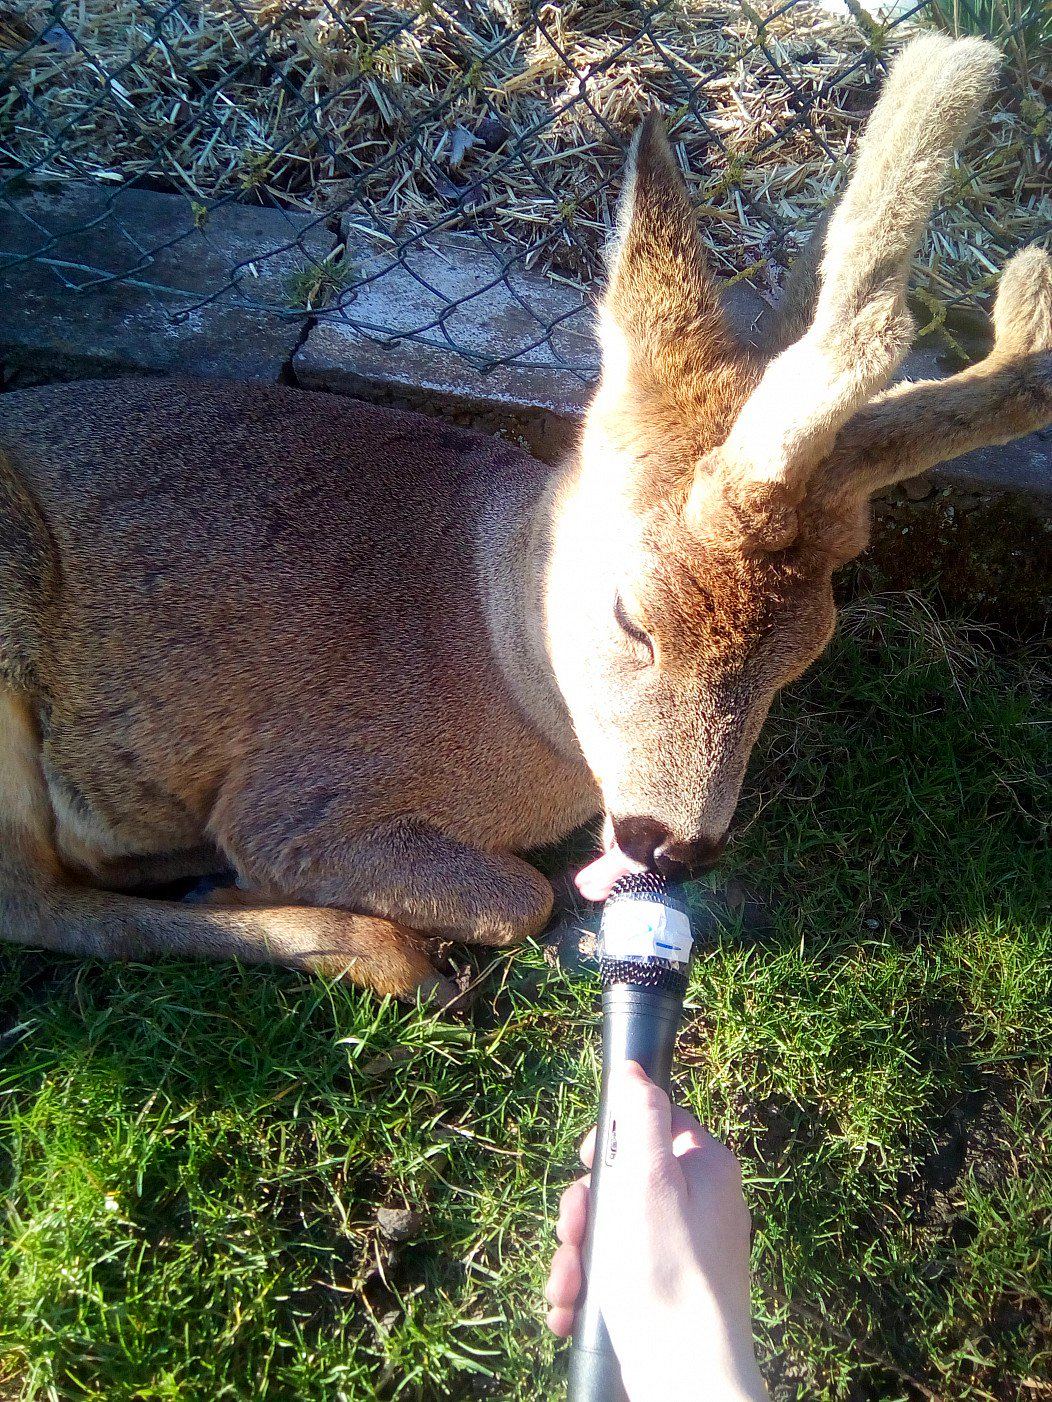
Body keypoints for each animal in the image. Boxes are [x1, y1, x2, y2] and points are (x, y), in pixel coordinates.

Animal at [0, 35, 1049, 1004]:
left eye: (804, 655)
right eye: (633, 617)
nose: (671, 846)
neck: (495, 654)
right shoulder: (293, 794)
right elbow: (519, 895)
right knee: (38, 905)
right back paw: (361, 946)